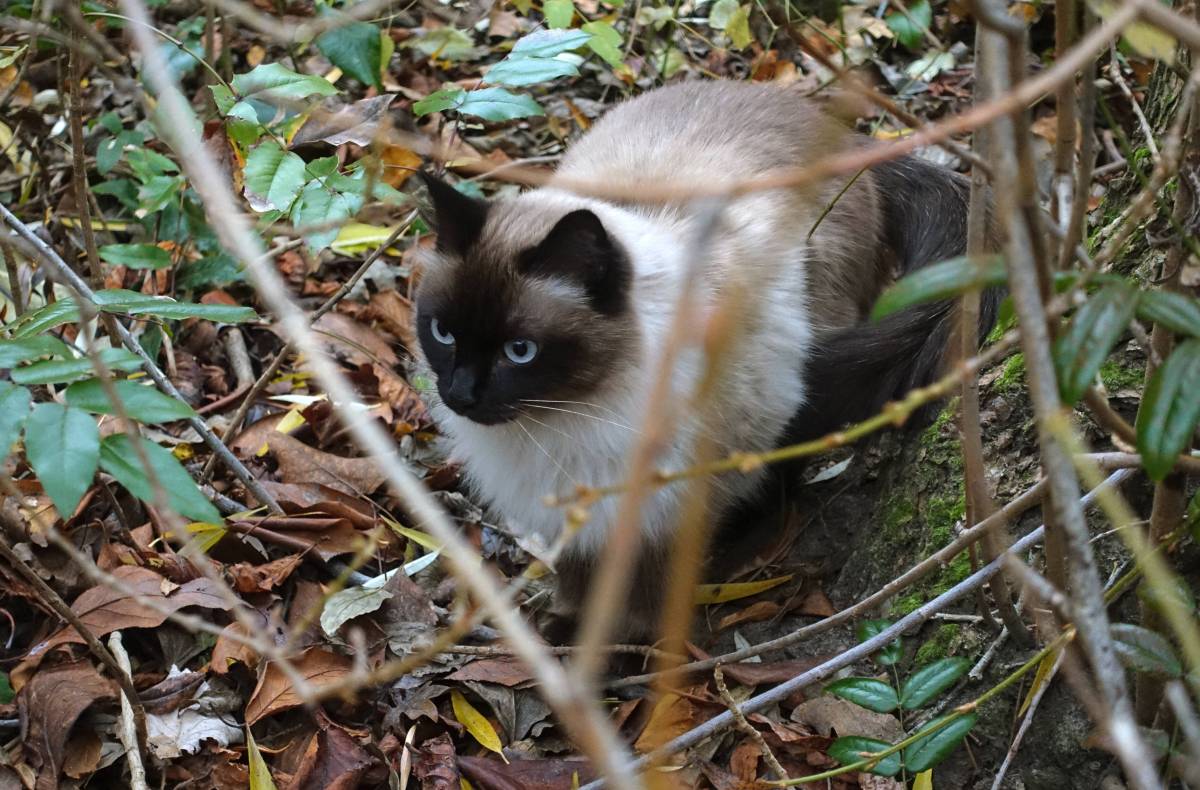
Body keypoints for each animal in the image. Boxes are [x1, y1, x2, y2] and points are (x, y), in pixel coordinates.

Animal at [408, 78, 998, 633]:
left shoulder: (667, 510)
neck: (565, 420)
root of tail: (842, 132)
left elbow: (650, 598)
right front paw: (568, 630)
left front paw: (626, 654)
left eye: (520, 351)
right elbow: (579, 580)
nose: (460, 394)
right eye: (443, 333)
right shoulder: (580, 514)